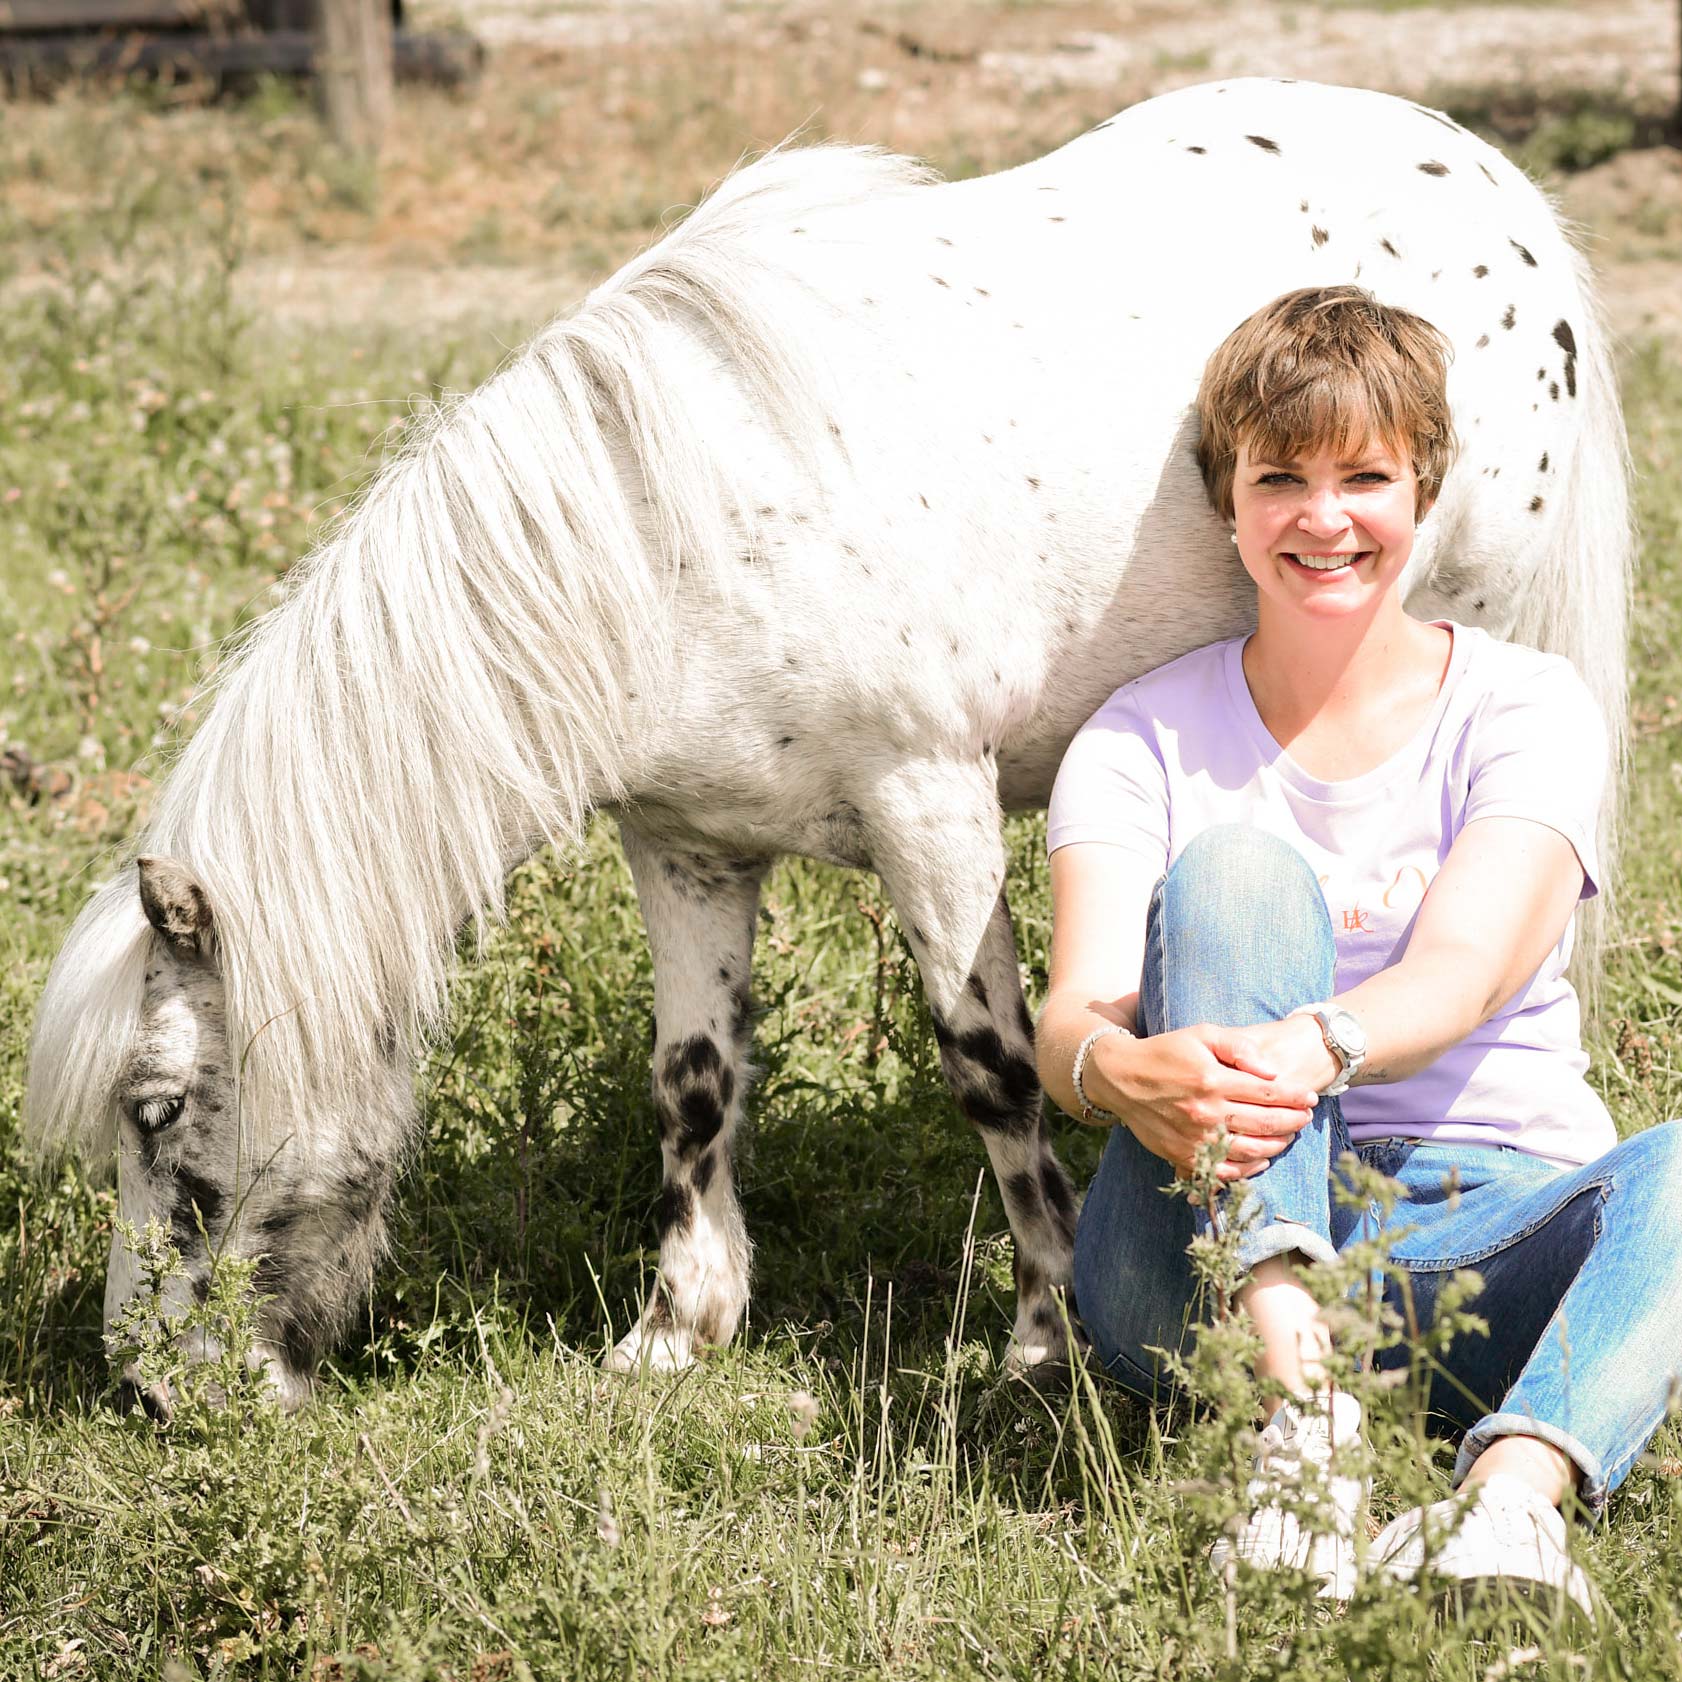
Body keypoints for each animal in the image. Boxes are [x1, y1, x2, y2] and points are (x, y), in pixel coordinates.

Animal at [26, 79, 1628, 1412]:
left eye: (155, 1111)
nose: (148, 1391)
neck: (663, 539)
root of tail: (1496, 189)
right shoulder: (685, 848)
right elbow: (691, 1082)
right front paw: (677, 1329)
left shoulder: (930, 810)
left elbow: (990, 1067)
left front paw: (1039, 1332)